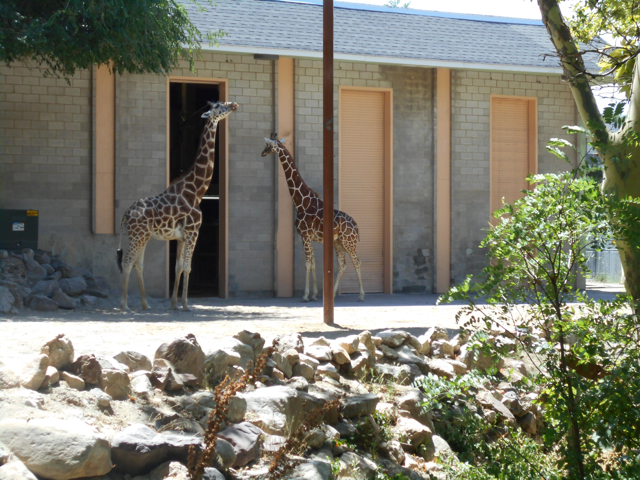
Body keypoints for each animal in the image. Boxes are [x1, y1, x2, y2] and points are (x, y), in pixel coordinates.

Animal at [117, 101, 238, 311]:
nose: (233, 104)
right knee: (127, 261)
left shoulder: (180, 237)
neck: (197, 190)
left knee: (138, 264)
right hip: (138, 236)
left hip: (142, 236)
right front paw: (185, 304)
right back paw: (124, 305)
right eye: (217, 105)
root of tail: (125, 215)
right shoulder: (193, 232)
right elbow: (187, 266)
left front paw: (174, 304)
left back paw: (145, 304)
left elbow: (178, 267)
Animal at [261, 134, 365, 302]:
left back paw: (361, 295)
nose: (262, 153)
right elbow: (314, 263)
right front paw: (315, 294)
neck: (301, 202)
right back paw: (332, 294)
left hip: (349, 242)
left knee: (357, 262)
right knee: (342, 264)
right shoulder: (308, 237)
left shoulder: (304, 236)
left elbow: (308, 264)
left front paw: (305, 295)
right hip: (338, 242)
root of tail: (356, 226)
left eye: (268, 145)